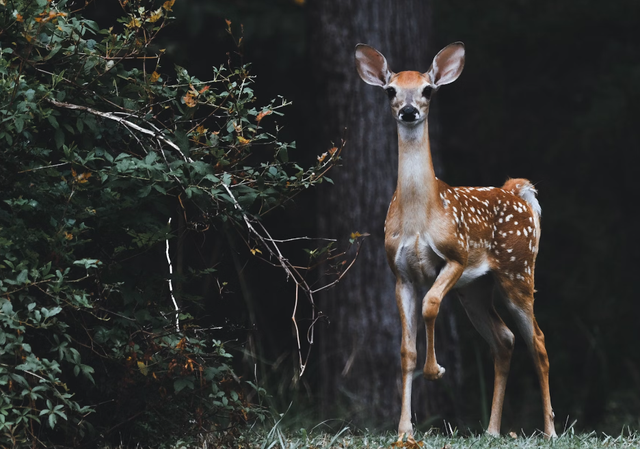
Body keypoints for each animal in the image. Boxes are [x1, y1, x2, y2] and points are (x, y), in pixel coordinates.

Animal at [356, 43, 556, 440]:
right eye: (390, 90)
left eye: (428, 90)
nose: (408, 111)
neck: (420, 215)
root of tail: (518, 192)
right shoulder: (400, 274)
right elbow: (406, 350)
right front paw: (404, 430)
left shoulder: (455, 256)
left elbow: (431, 305)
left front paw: (436, 371)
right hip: (476, 289)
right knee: (504, 339)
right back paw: (492, 430)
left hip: (518, 271)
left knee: (538, 341)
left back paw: (550, 431)